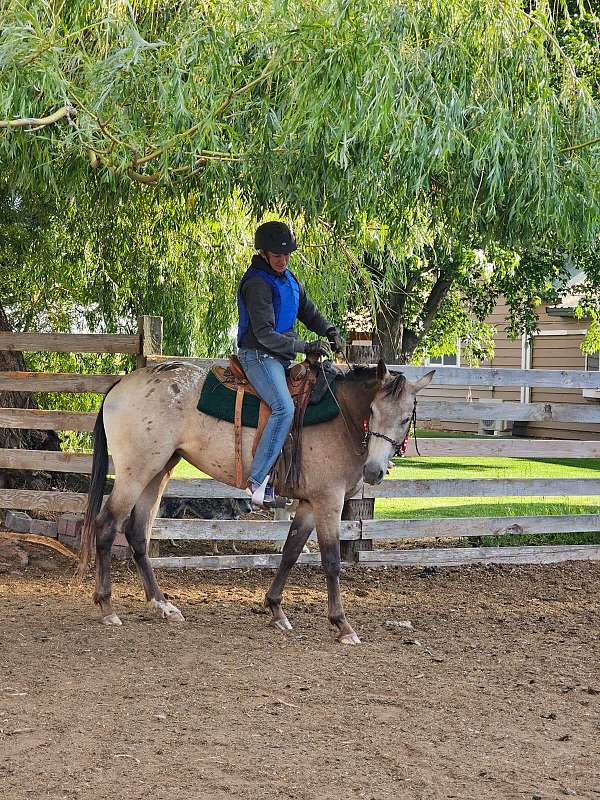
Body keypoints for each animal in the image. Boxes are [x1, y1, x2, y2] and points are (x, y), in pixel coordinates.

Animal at [77, 360, 434, 648]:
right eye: (372, 411)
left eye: (406, 418)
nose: (374, 471)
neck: (341, 419)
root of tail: (121, 385)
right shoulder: (327, 501)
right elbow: (331, 561)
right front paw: (342, 625)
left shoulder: (308, 503)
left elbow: (290, 552)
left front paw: (276, 609)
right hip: (135, 472)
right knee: (106, 525)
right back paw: (107, 607)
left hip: (159, 471)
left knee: (138, 534)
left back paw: (162, 605)